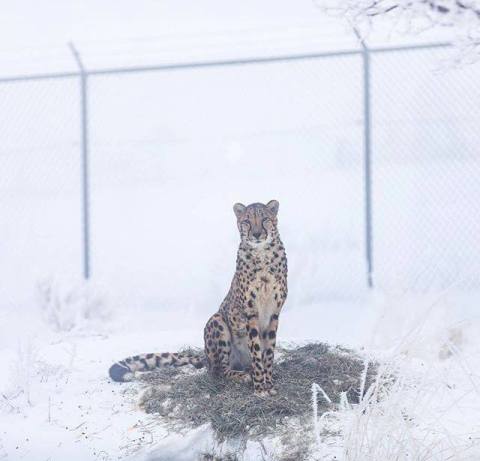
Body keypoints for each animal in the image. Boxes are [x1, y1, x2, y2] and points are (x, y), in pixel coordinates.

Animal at [109, 199, 286, 398]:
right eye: (247, 221)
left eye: (264, 219)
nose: (256, 234)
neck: (262, 254)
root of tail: (206, 358)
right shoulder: (250, 313)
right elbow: (256, 351)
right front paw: (260, 388)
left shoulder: (273, 313)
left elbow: (268, 352)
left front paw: (269, 383)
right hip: (217, 320)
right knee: (219, 371)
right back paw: (242, 375)